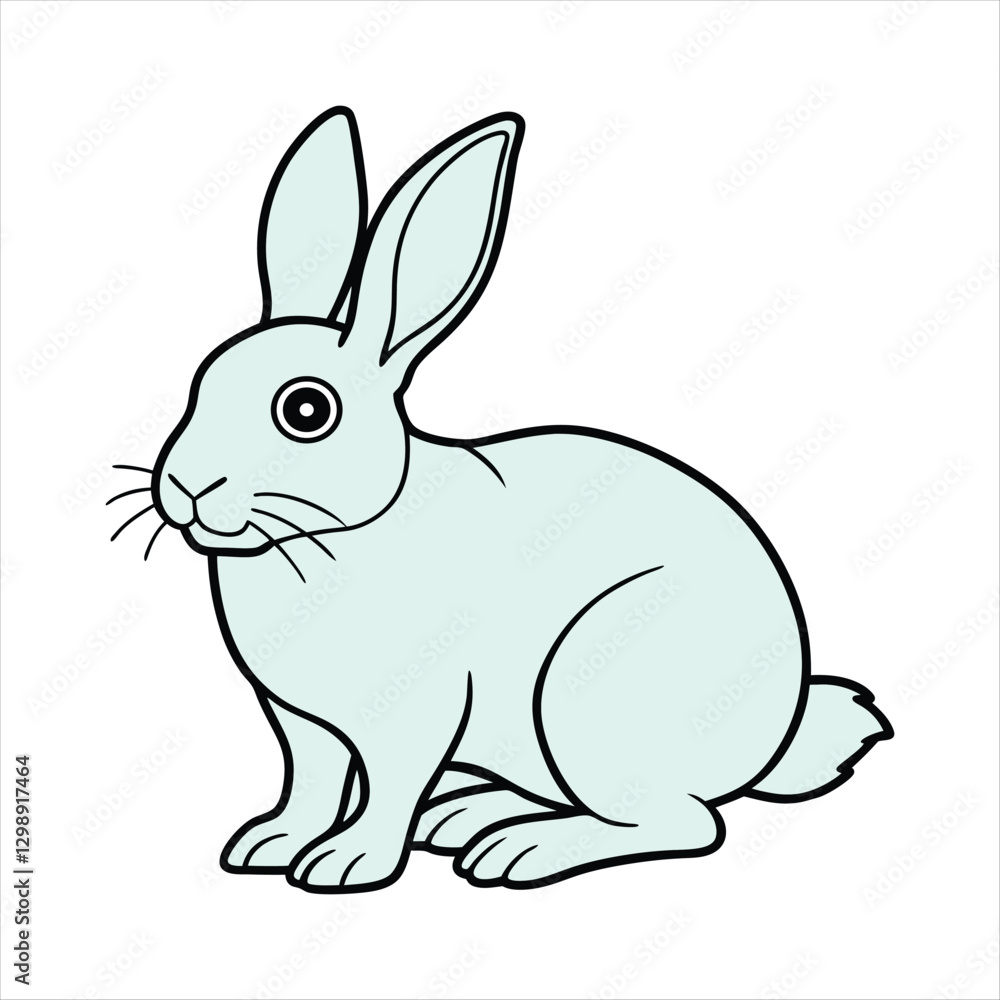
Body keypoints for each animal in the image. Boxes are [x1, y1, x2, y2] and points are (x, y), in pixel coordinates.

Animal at [128, 107, 892, 892]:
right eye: (203, 379)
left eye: (306, 411)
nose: (185, 489)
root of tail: (777, 731)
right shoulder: (301, 723)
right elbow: (310, 781)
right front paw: (269, 844)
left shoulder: (418, 711)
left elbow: (388, 787)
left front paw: (347, 863)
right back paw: (466, 817)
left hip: (588, 704)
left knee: (682, 822)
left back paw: (517, 850)